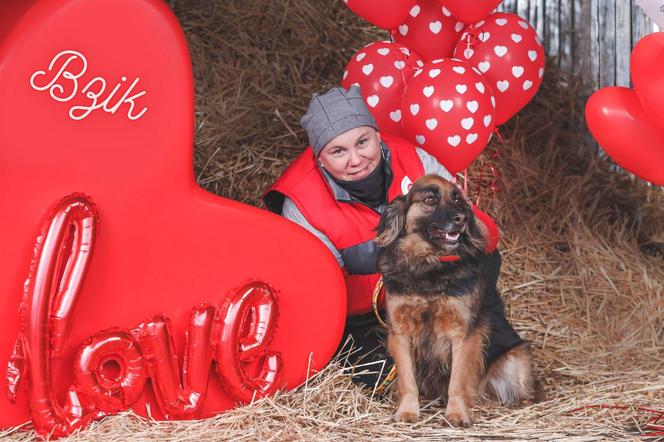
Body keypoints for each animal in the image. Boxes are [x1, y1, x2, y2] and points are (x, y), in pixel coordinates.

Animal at [376, 174, 536, 426]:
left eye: (458, 199)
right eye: (430, 200)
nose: (461, 218)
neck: (430, 264)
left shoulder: (463, 333)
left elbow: (458, 382)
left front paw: (457, 414)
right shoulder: (400, 332)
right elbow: (408, 379)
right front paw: (407, 410)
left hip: (515, 360)